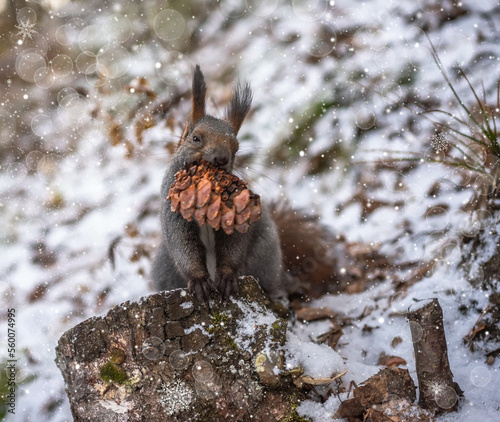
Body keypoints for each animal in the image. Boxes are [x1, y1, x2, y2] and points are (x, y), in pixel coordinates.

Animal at [152, 65, 340, 304]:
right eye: (195, 138)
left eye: (236, 147)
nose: (222, 158)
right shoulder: (173, 213)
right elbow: (182, 244)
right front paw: (199, 280)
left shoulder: (233, 215)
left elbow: (233, 245)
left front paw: (226, 277)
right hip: (165, 268)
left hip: (264, 249)